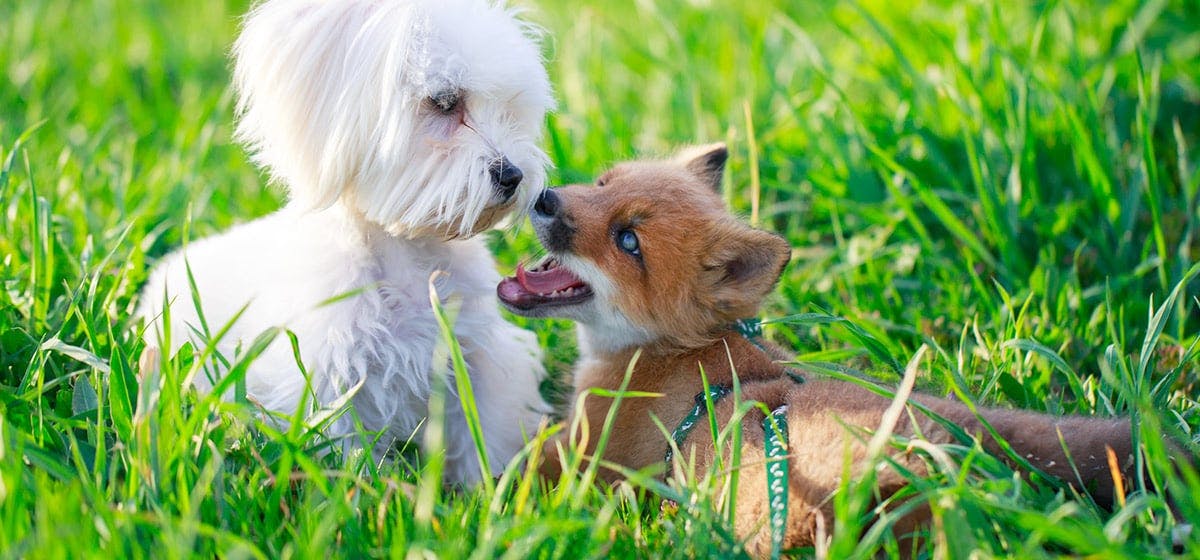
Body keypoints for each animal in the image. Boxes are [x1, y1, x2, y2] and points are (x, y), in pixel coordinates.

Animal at [139, 0, 552, 484]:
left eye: (508, 109)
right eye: (445, 102)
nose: (513, 176)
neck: (408, 256)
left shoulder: (479, 358)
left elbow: (481, 437)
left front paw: (487, 491)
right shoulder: (327, 381)